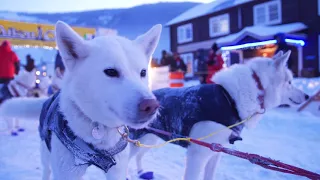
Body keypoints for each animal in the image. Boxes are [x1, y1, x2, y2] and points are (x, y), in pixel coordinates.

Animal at [0, 20, 162, 179]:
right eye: (111, 71)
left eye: (143, 72)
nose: (151, 105)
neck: (98, 128)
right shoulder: (66, 172)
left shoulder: (117, 170)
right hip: (46, 153)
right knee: (46, 170)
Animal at [128, 50, 310, 179]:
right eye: (289, 82)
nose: (307, 96)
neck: (230, 98)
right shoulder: (197, 155)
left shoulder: (215, 152)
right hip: (137, 140)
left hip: (150, 139)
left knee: (138, 157)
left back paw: (142, 172)